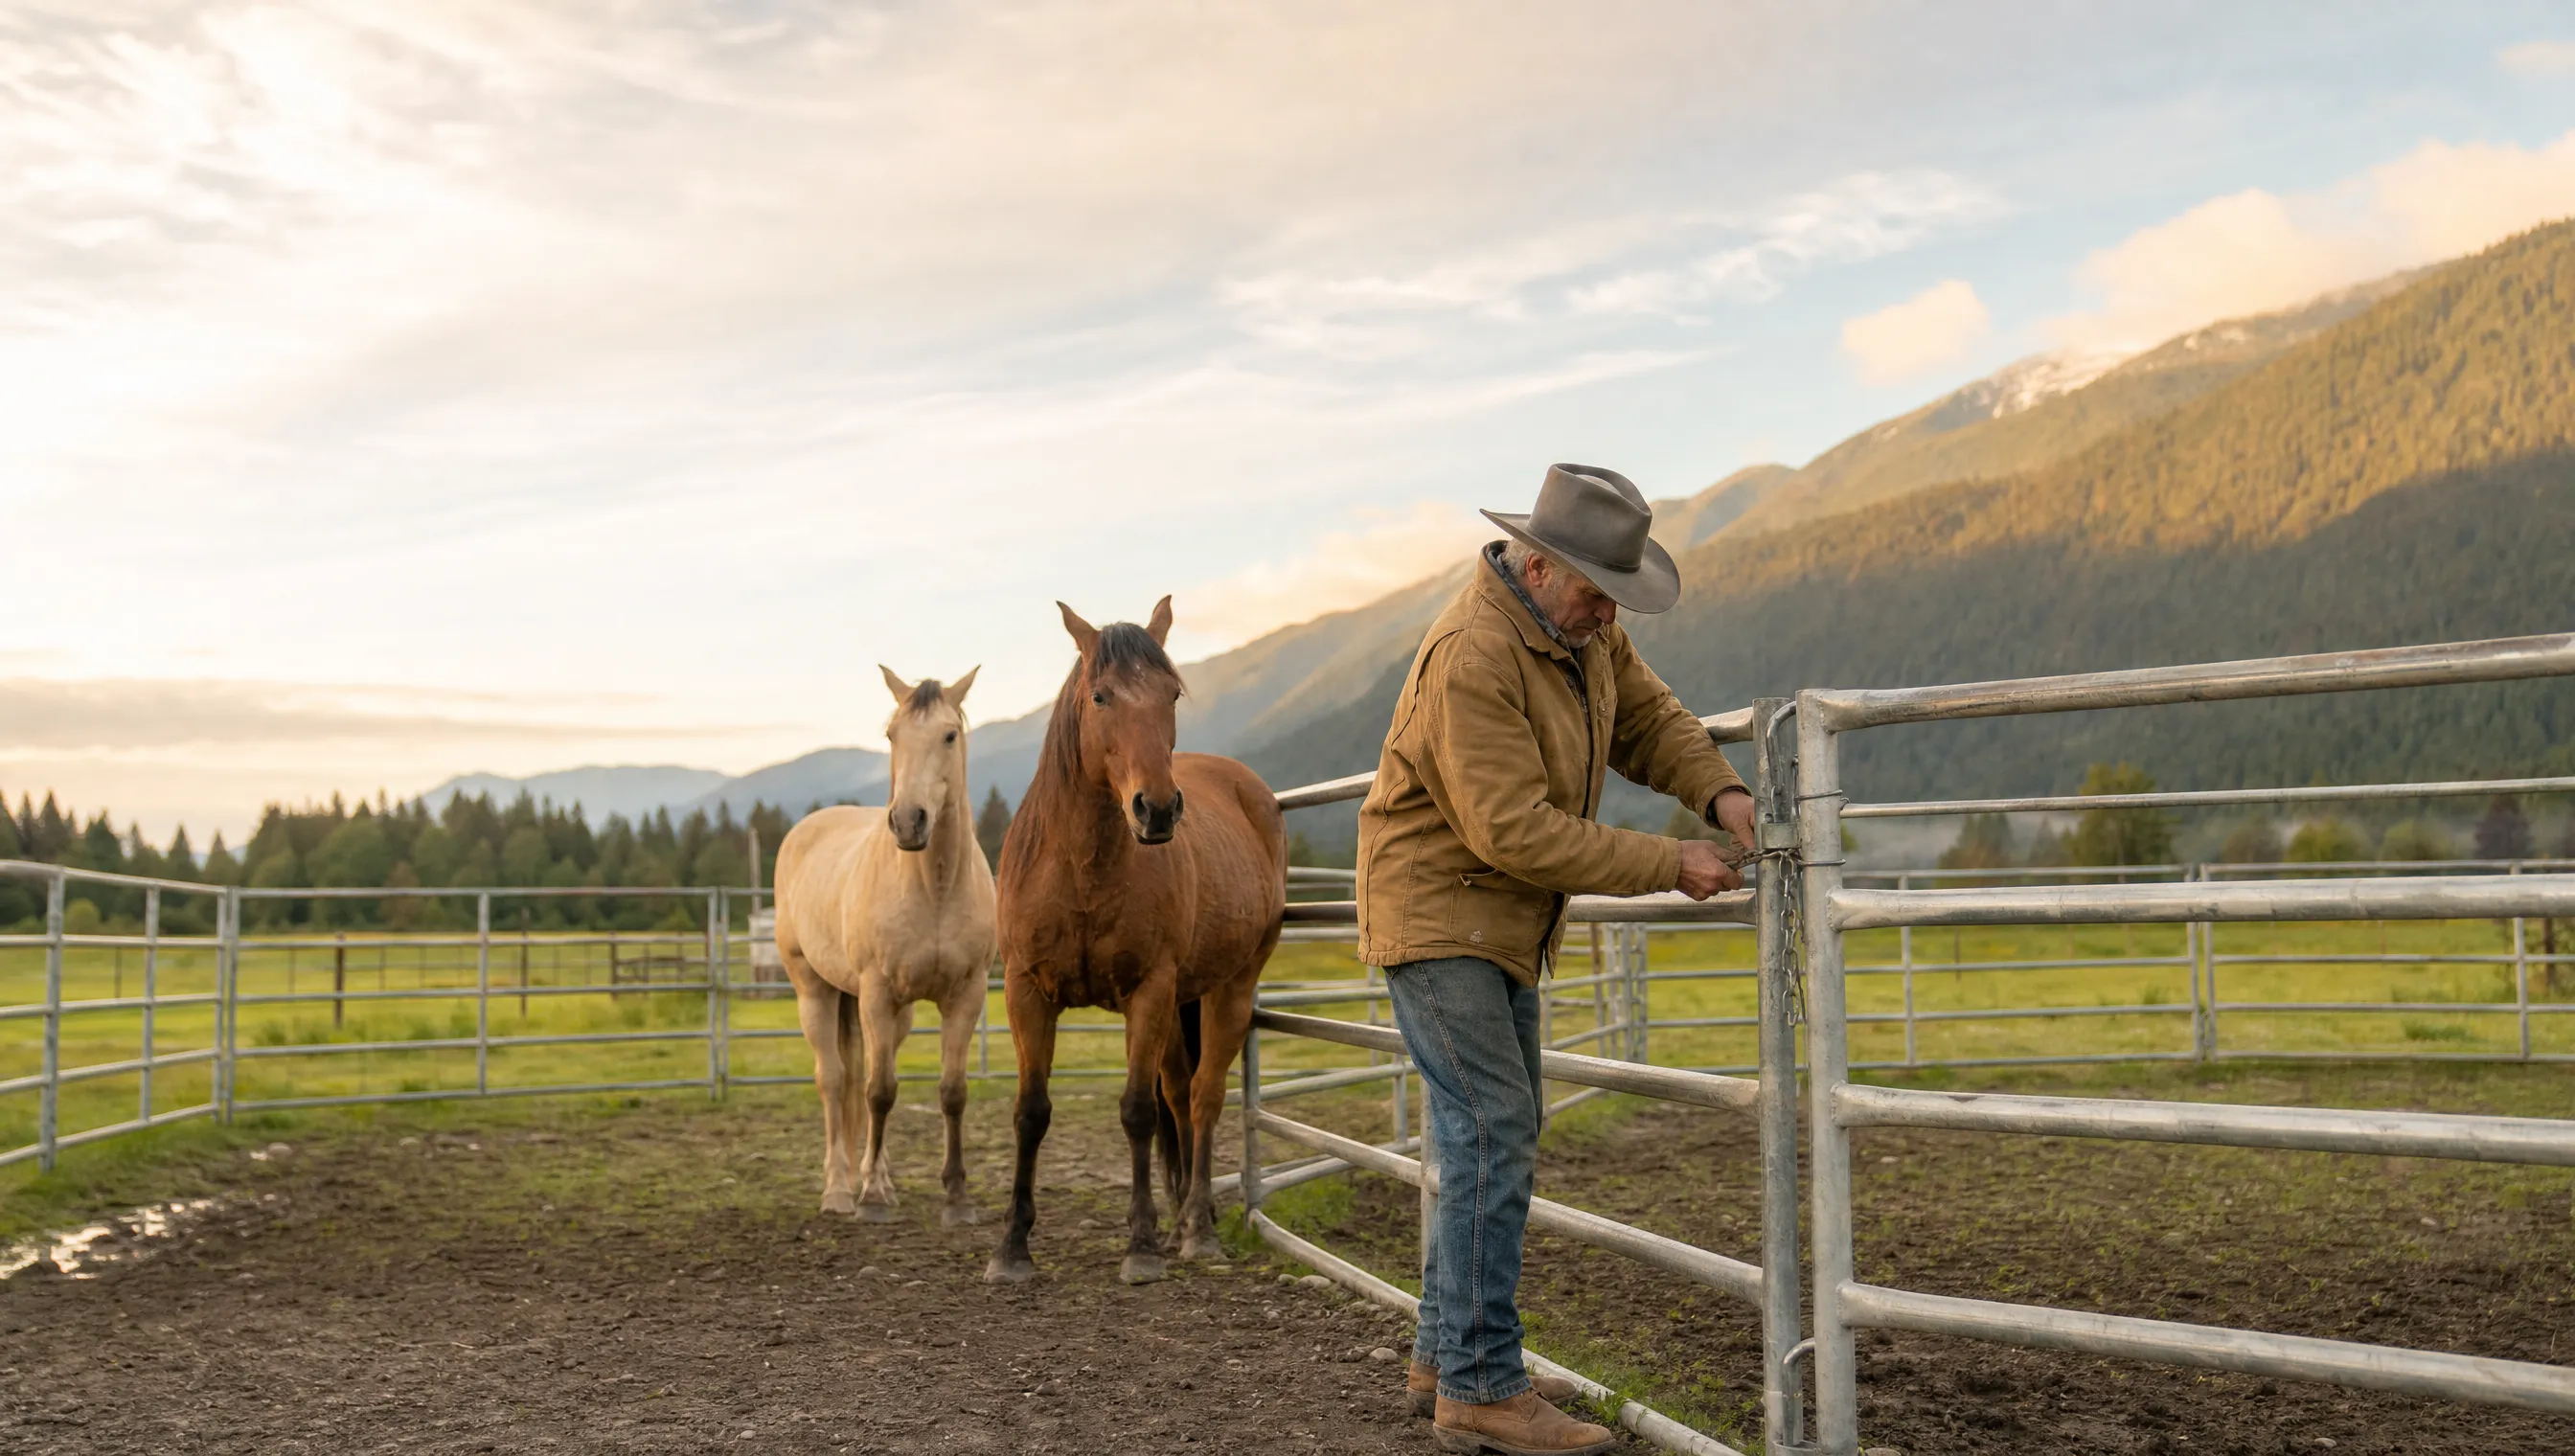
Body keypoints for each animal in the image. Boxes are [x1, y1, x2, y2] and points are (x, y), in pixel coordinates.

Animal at [773, 667, 996, 1226]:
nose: (909, 822)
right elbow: (879, 1092)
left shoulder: (967, 994)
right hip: (814, 990)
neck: (934, 887)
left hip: (898, 1014)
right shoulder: (874, 993)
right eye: (892, 735)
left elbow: (951, 1091)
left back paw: (881, 1179)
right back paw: (838, 1189)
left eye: (949, 735)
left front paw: (957, 1198)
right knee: (835, 1080)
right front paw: (869, 1197)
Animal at [984, 597, 1286, 1285]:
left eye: (1171, 694)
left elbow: (1137, 1113)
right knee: (1179, 1092)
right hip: (1182, 1003)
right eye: (1100, 696)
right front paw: (1012, 1247)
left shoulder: (1148, 992)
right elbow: (1030, 1112)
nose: (1158, 809)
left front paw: (1142, 1246)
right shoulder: (1025, 991)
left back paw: (1196, 1228)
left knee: (1201, 1098)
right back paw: (1181, 1219)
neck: (1083, 867)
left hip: (1230, 988)